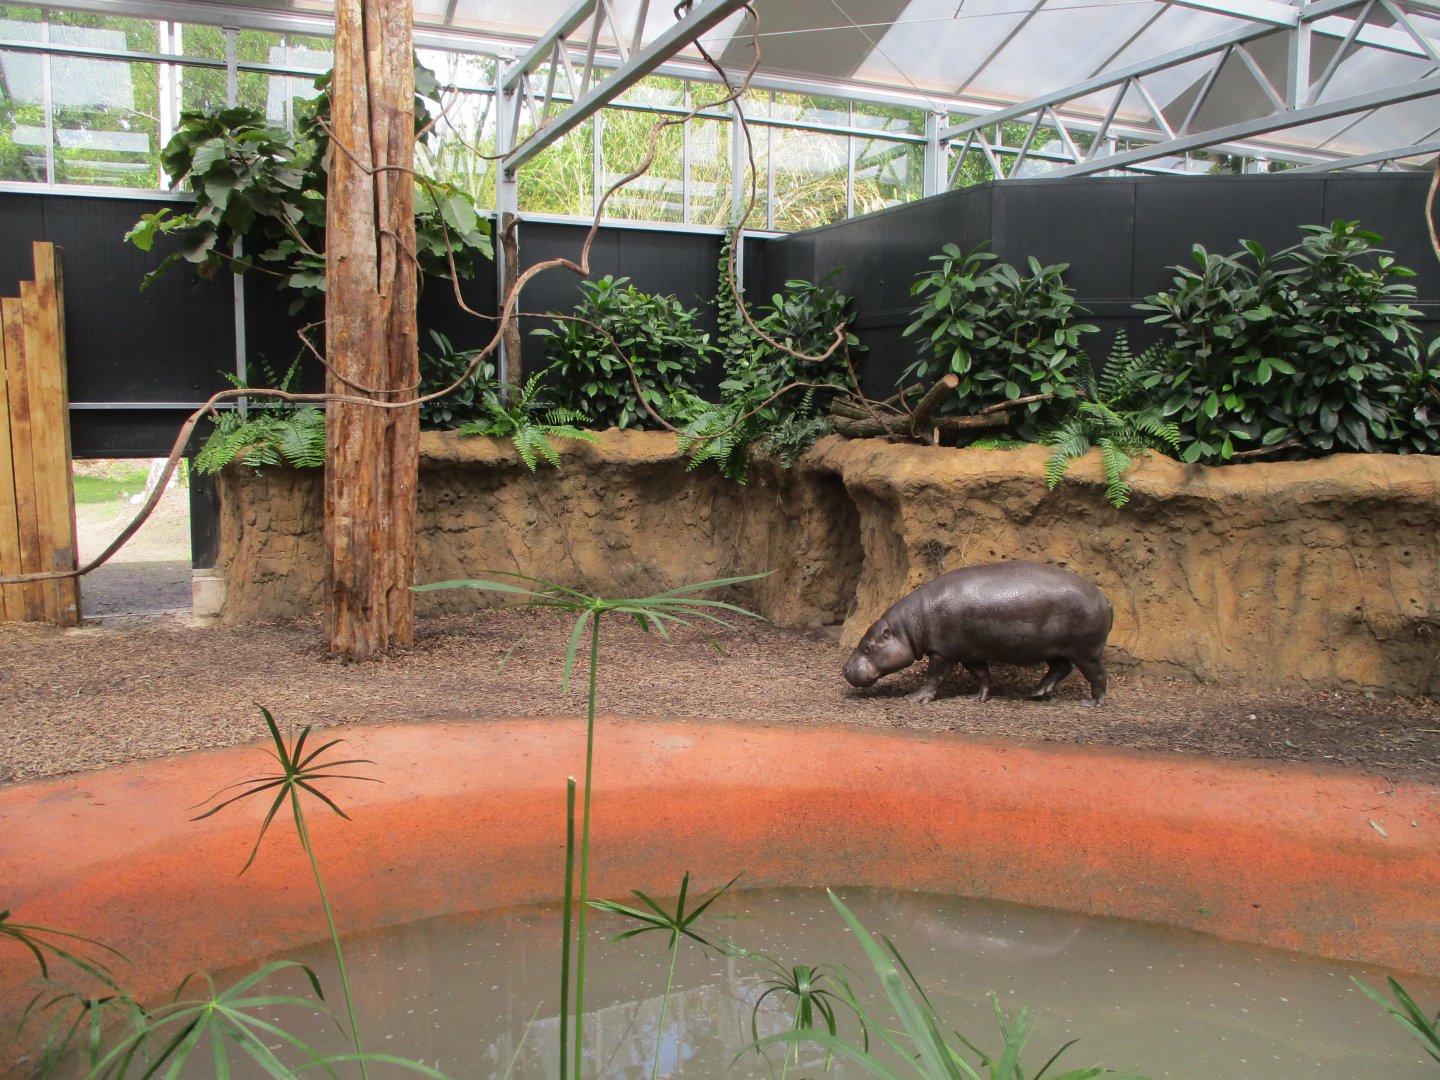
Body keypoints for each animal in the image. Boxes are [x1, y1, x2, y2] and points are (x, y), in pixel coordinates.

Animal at [842, 561, 1113, 705]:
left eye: (867, 646)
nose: (844, 668)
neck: (909, 626)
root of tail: (1105, 599)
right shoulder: (969, 653)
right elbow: (982, 674)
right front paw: (977, 698)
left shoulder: (943, 653)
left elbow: (934, 677)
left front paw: (915, 698)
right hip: (1053, 648)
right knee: (1061, 668)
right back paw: (1037, 693)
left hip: (1085, 651)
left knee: (1098, 674)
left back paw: (1092, 702)